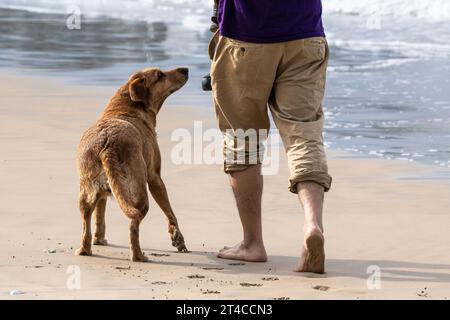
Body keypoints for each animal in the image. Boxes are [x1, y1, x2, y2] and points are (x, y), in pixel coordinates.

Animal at [75, 66, 188, 262]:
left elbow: (99, 216)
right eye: (160, 75)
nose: (186, 69)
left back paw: (85, 250)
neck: (125, 108)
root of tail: (107, 146)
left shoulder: (102, 194)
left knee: (85, 226)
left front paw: (100, 239)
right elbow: (170, 212)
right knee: (133, 227)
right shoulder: (155, 178)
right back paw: (139, 255)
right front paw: (178, 238)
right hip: (139, 192)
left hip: (87, 193)